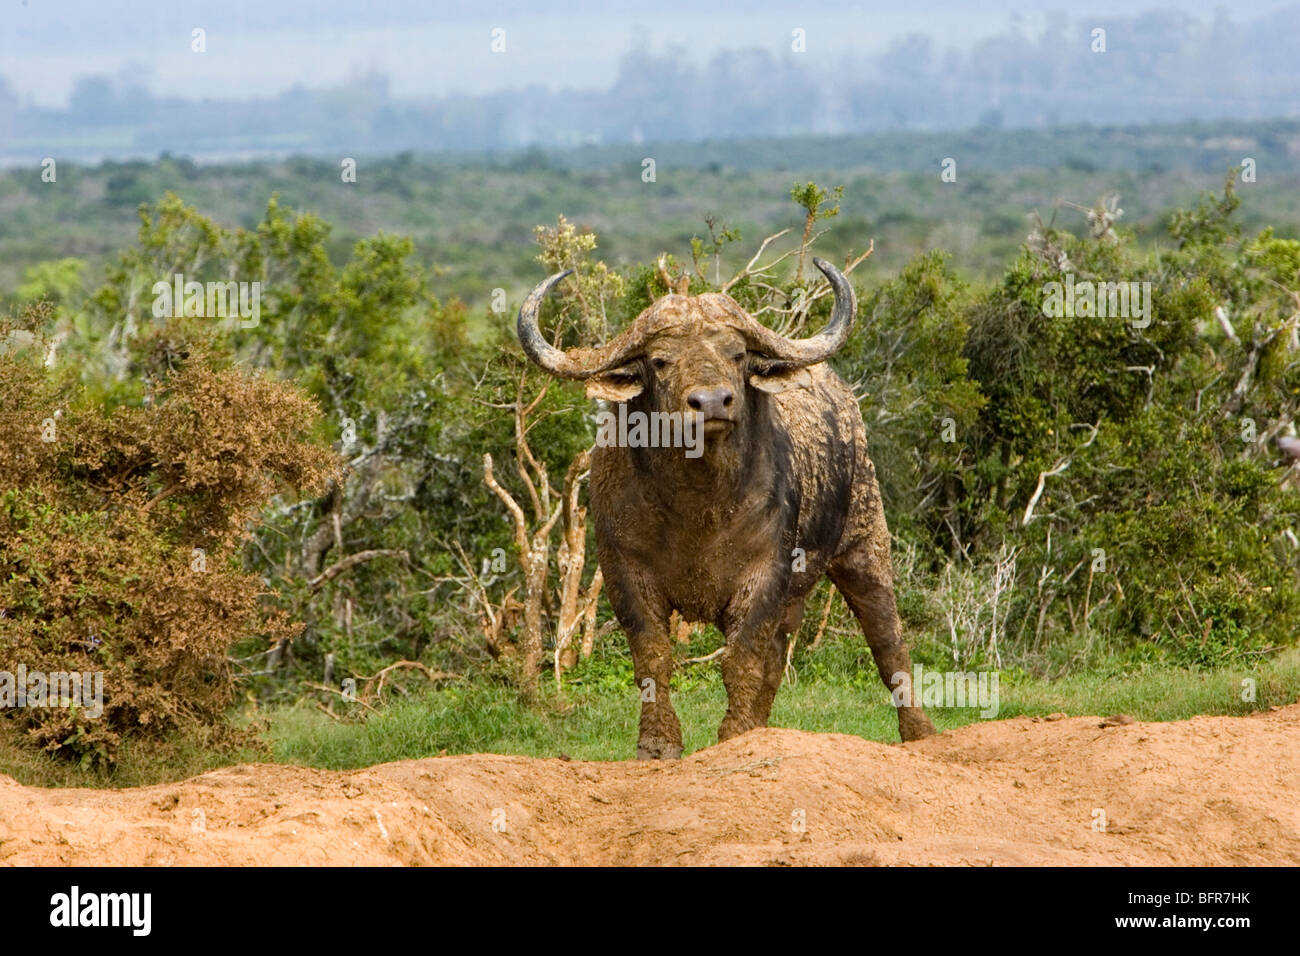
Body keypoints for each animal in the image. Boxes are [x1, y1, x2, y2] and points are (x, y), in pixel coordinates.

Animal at [517, 258, 936, 757]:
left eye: (736, 355)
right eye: (660, 361)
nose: (713, 402)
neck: (697, 506)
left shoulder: (765, 575)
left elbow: (741, 660)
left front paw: (734, 735)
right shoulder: (624, 573)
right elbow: (654, 658)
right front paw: (658, 743)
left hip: (865, 544)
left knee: (887, 640)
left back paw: (920, 732)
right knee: (778, 657)